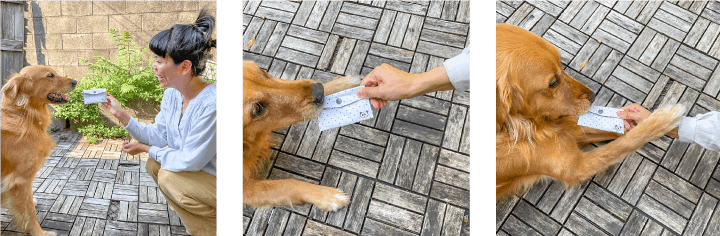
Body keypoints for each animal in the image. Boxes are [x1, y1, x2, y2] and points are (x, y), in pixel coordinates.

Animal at [1, 64, 76, 234]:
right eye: (50, 75)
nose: (75, 81)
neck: (23, 114)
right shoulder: (20, 180)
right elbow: (29, 212)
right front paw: (40, 233)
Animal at [245, 60, 362, 210]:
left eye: (261, 70)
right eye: (257, 109)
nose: (319, 92)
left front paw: (344, 83)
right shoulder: (246, 189)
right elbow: (287, 184)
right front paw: (327, 195)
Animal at [496, 23, 688, 201]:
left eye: (561, 64)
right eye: (552, 83)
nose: (594, 96)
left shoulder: (568, 129)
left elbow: (620, 132)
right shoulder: (576, 167)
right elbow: (624, 143)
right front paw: (664, 119)